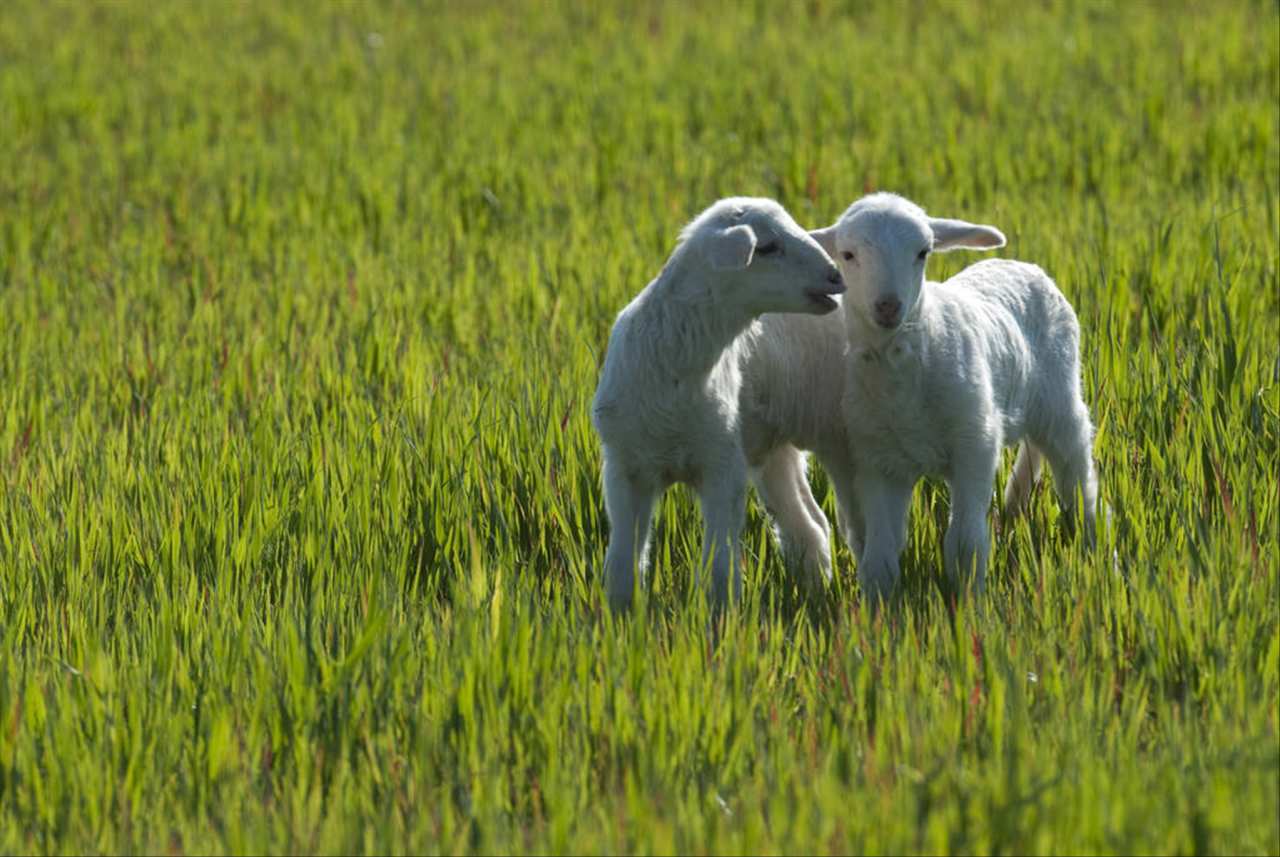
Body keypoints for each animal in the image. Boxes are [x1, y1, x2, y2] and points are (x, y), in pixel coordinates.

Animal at [591, 196, 849, 611]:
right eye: (767, 247)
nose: (835, 278)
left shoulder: (722, 466)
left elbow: (719, 563)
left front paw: (719, 615)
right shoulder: (624, 468)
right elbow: (622, 559)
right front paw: (620, 612)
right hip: (773, 449)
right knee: (809, 524)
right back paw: (815, 588)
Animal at [808, 193, 1100, 603]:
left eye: (923, 252)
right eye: (848, 255)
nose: (888, 306)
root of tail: (1020, 264)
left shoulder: (974, 444)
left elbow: (964, 546)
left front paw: (971, 606)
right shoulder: (878, 463)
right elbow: (881, 555)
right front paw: (877, 613)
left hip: (1061, 398)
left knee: (1078, 481)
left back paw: (1096, 549)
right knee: (1035, 448)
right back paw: (1018, 498)